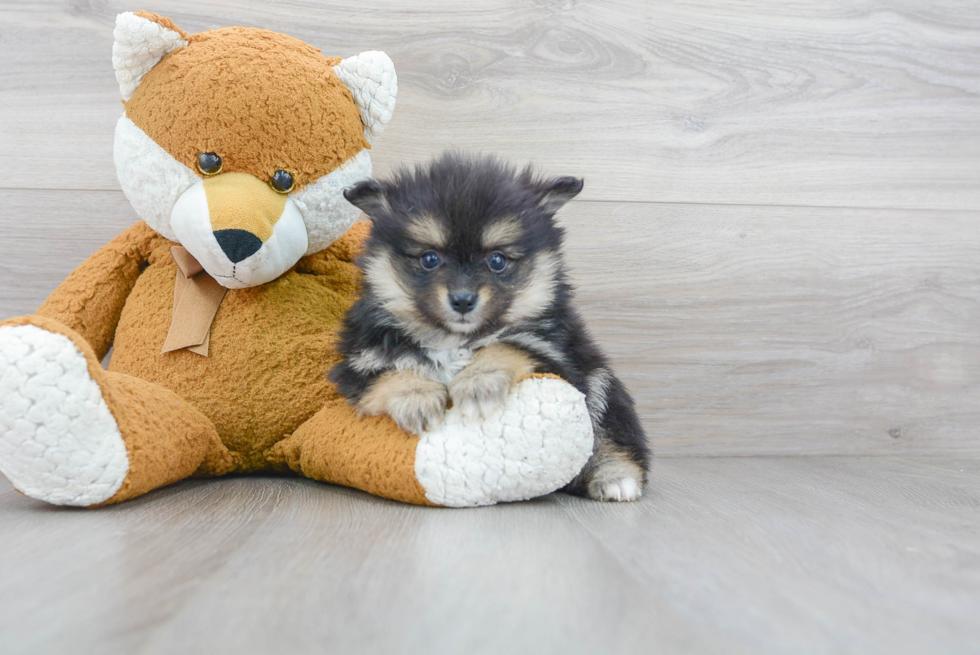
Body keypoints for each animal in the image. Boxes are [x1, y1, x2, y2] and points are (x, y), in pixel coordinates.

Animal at [332, 152, 652, 502]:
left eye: (497, 261)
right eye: (430, 259)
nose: (462, 300)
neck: (455, 339)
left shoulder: (556, 354)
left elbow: (507, 344)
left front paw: (478, 382)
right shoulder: (360, 361)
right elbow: (391, 371)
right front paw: (416, 398)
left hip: (599, 381)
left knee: (609, 434)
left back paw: (615, 477)